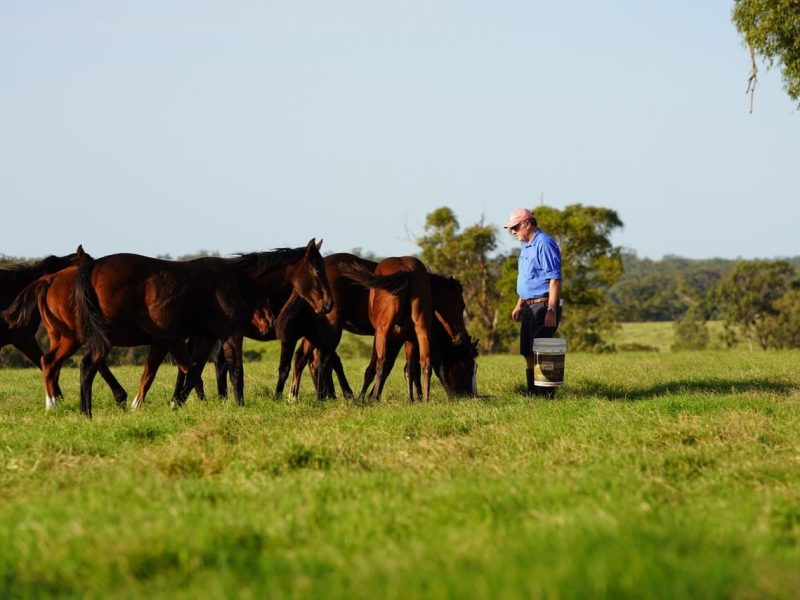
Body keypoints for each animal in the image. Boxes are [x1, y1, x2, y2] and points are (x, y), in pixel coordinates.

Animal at [71, 239, 332, 416]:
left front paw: (176, 404)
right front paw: (240, 405)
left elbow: (193, 372)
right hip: (107, 336)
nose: (328, 304)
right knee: (88, 366)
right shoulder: (230, 334)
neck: (237, 280)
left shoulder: (205, 338)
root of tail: (92, 267)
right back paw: (88, 413)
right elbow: (235, 372)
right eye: (317, 270)